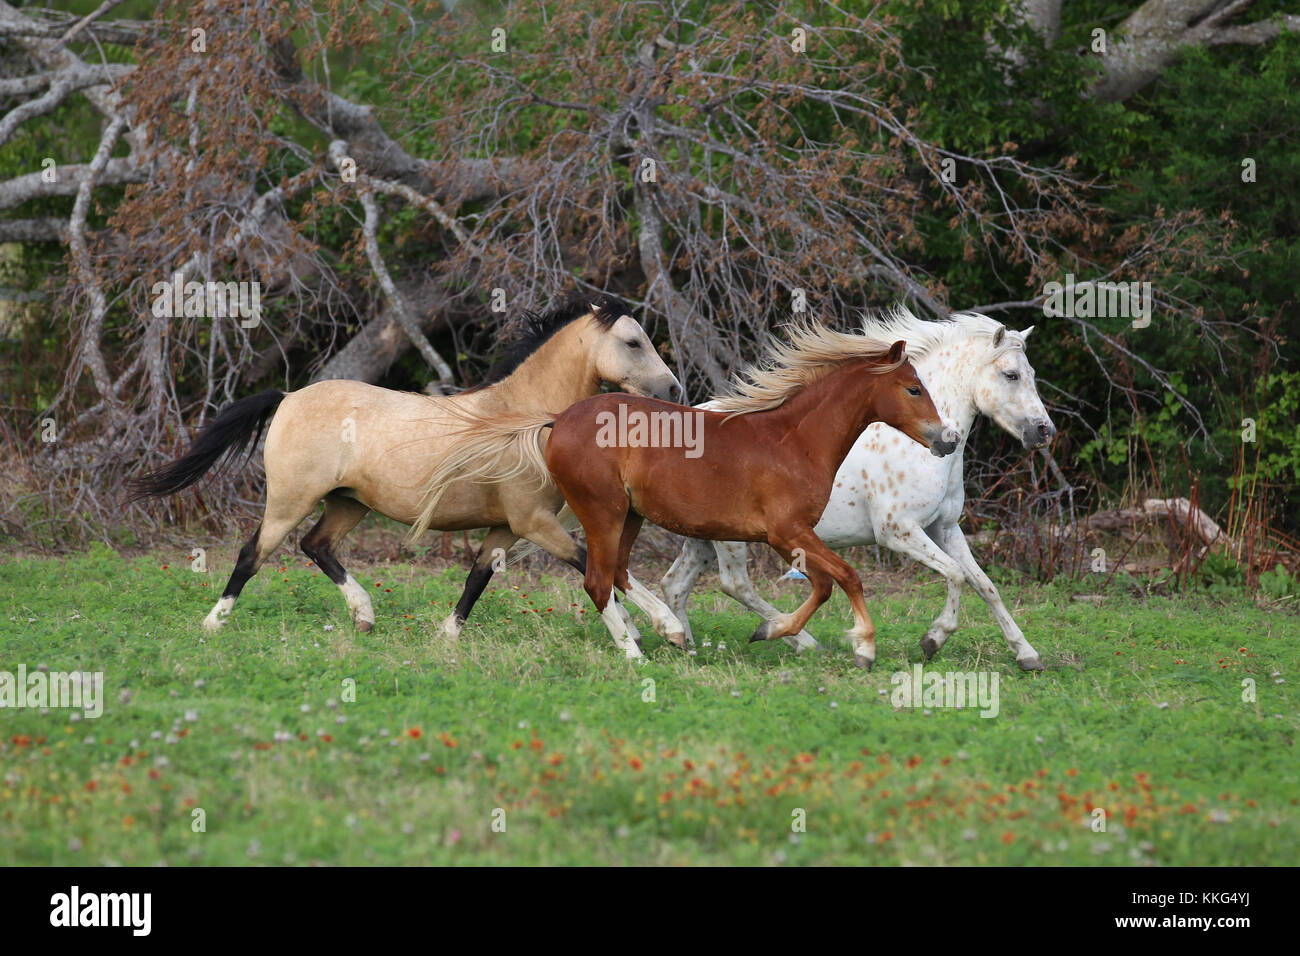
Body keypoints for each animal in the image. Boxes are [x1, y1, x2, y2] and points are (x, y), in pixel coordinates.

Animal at [127, 293, 690, 650]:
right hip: (289, 500)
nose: (674, 390)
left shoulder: (506, 527)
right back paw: (213, 623)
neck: (523, 420)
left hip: (347, 503)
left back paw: (364, 616)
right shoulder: (533, 522)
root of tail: (288, 397)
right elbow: (595, 564)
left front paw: (446, 638)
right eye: (634, 342)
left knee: (317, 546)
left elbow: (477, 579)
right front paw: (664, 630)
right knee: (253, 553)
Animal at [537, 322, 960, 667]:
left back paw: (671, 630)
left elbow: (824, 585)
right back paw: (634, 652)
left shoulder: (793, 536)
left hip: (630, 515)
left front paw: (773, 631)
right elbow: (846, 577)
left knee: (620, 572)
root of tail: (559, 421)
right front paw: (863, 648)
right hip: (603, 512)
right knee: (598, 581)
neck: (796, 442)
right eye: (913, 389)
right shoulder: (786, 532)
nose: (947, 440)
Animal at [660, 308, 1055, 671]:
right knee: (735, 584)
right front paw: (932, 639)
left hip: (703, 535)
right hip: (732, 538)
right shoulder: (898, 531)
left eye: (1033, 374)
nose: (1044, 431)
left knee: (676, 584)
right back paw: (797, 641)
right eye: (1011, 374)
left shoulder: (944, 529)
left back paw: (687, 645)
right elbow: (955, 575)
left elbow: (985, 585)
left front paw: (1027, 654)